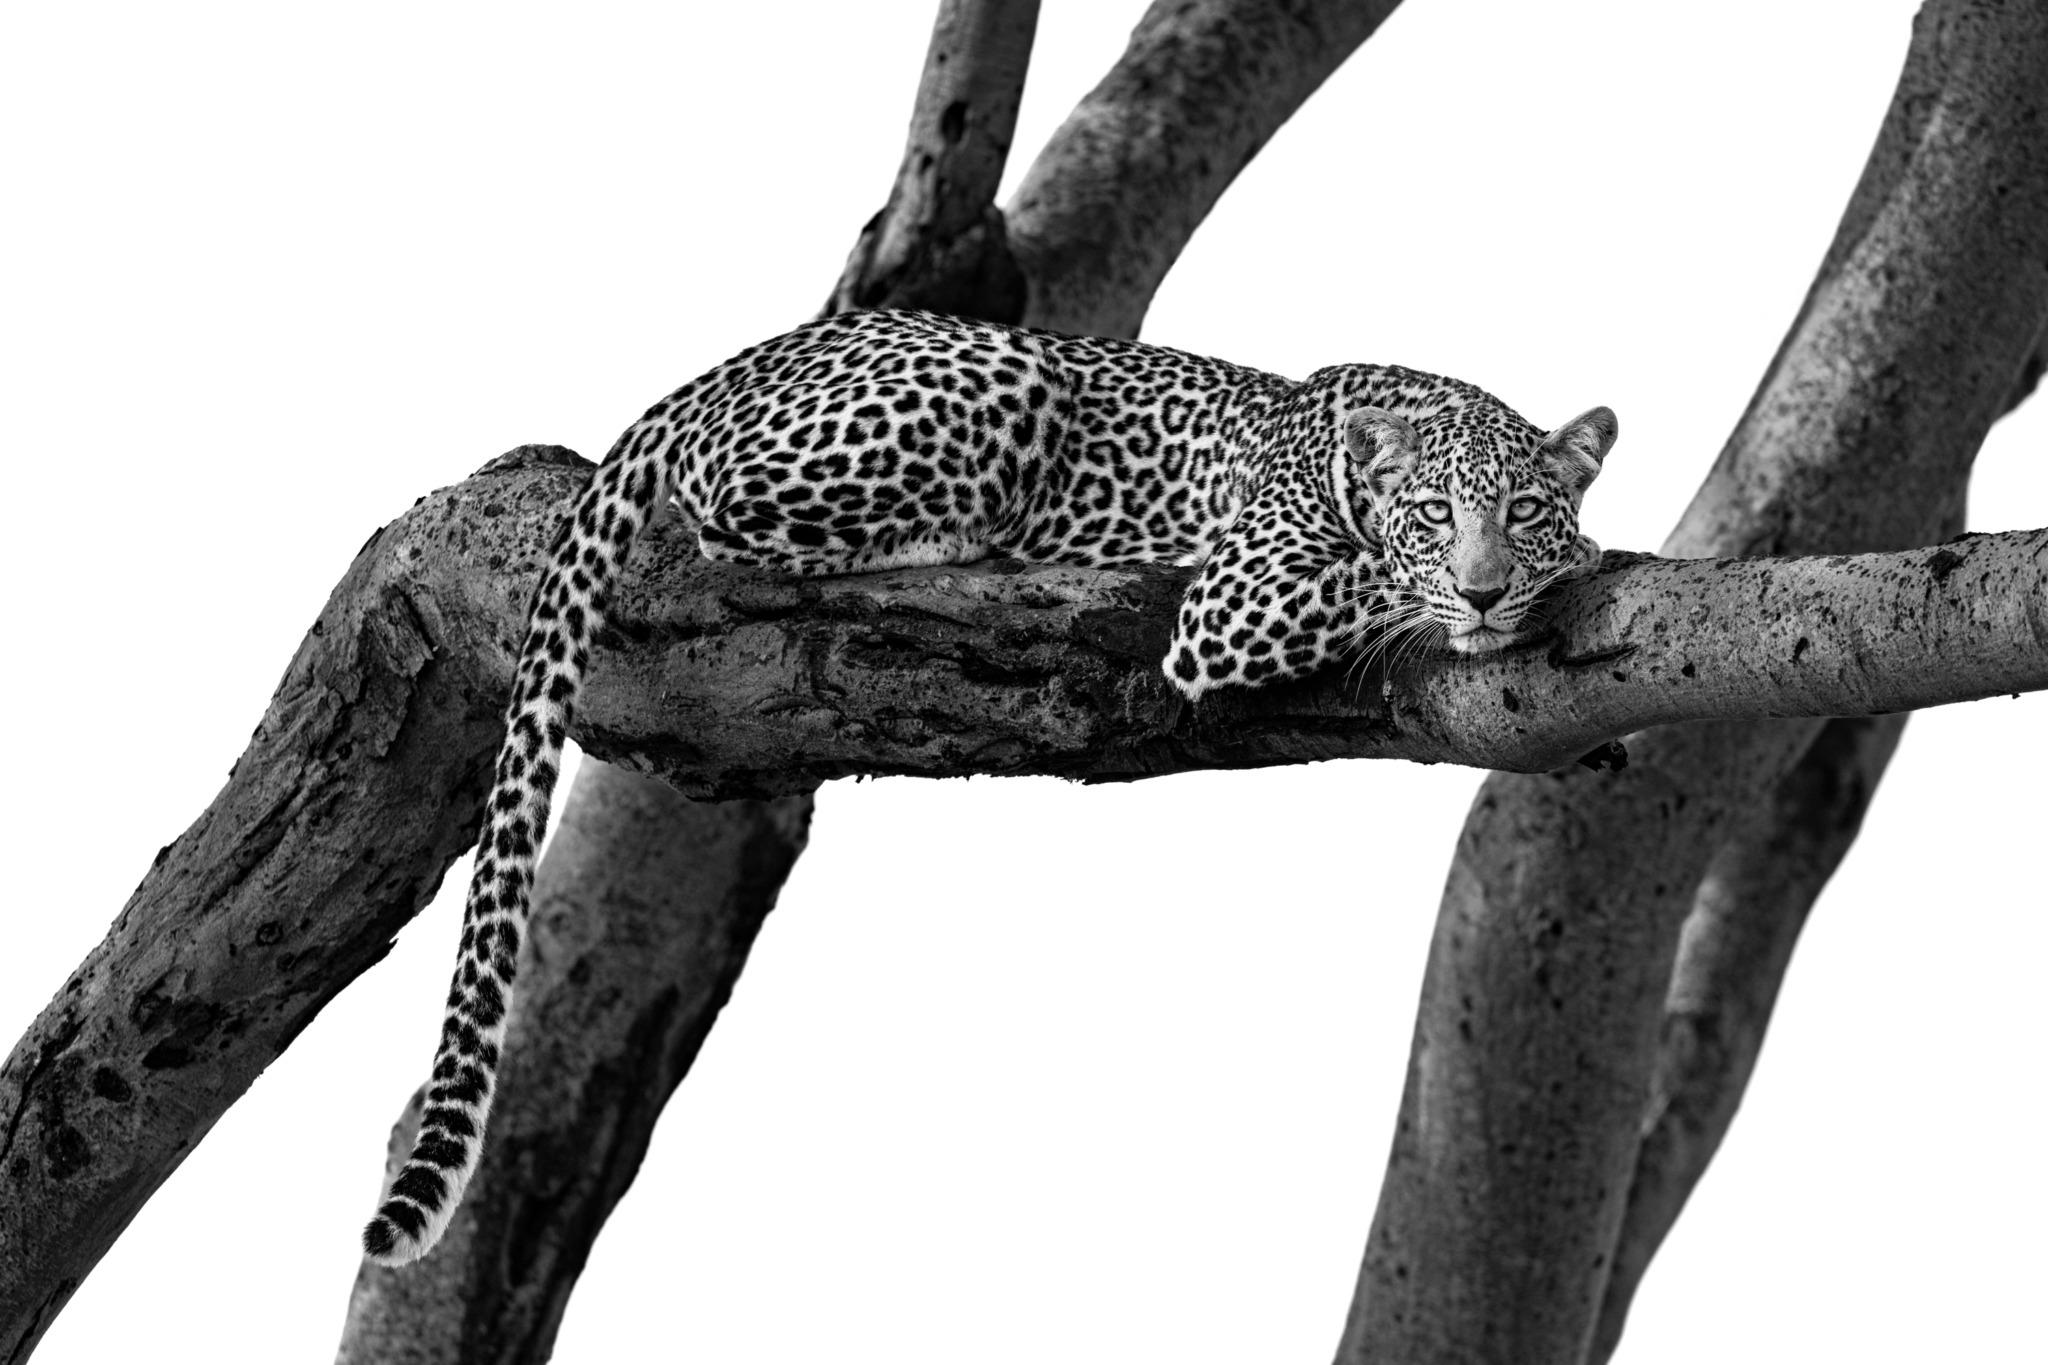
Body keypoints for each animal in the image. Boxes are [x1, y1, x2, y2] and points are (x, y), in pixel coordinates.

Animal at [361, 307, 1617, 1265]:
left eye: (1517, 510)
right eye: (1434, 516)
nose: (1486, 589)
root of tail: (746, 354)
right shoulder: (1232, 600)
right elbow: (1369, 583)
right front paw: (1551, 572)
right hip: (994, 387)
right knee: (728, 517)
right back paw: (965, 547)